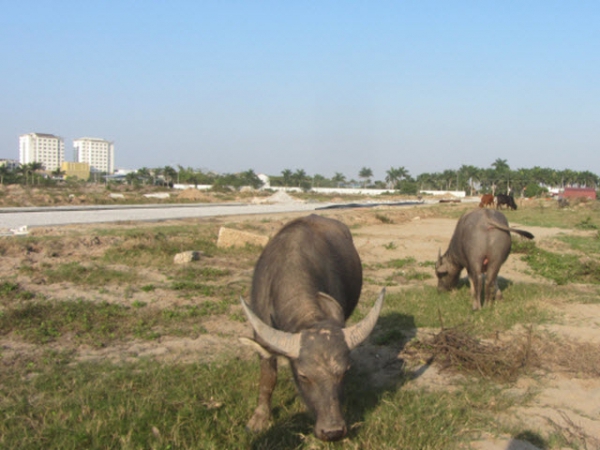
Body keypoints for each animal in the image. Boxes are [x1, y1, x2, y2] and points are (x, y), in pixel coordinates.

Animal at [239, 214, 384, 440]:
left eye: (344, 372)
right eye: (303, 376)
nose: (332, 431)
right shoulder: (261, 334)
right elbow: (268, 377)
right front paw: (259, 419)